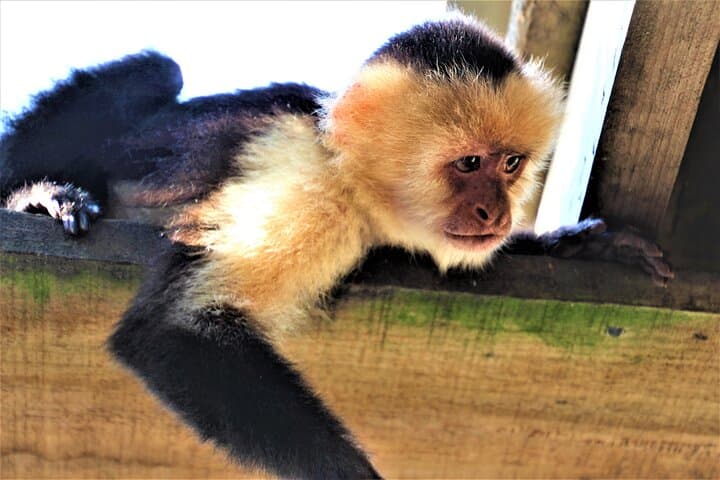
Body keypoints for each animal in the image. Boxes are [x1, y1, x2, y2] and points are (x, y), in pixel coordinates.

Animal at [0, 14, 672, 479]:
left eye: (511, 164)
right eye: (468, 164)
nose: (499, 213)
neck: (346, 169)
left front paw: (579, 245)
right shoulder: (306, 183)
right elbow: (173, 328)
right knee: (159, 71)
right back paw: (36, 195)